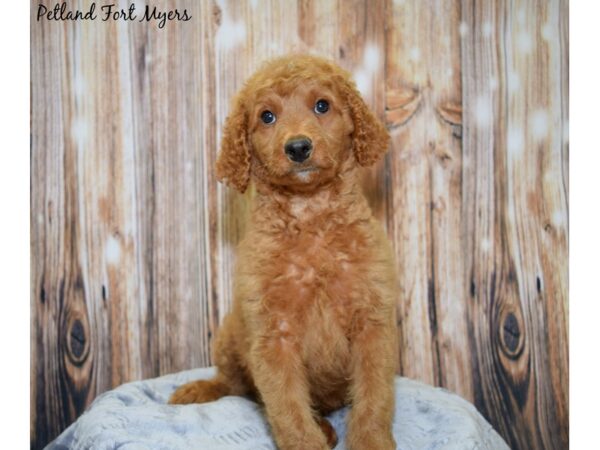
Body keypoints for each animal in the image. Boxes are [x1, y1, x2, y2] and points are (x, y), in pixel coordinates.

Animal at [169, 53, 396, 450]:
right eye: (267, 117)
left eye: (322, 106)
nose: (298, 147)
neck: (310, 217)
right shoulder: (273, 334)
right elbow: (287, 408)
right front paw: (307, 441)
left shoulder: (372, 323)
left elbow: (374, 397)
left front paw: (371, 441)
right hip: (229, 337)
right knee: (232, 384)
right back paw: (198, 389)